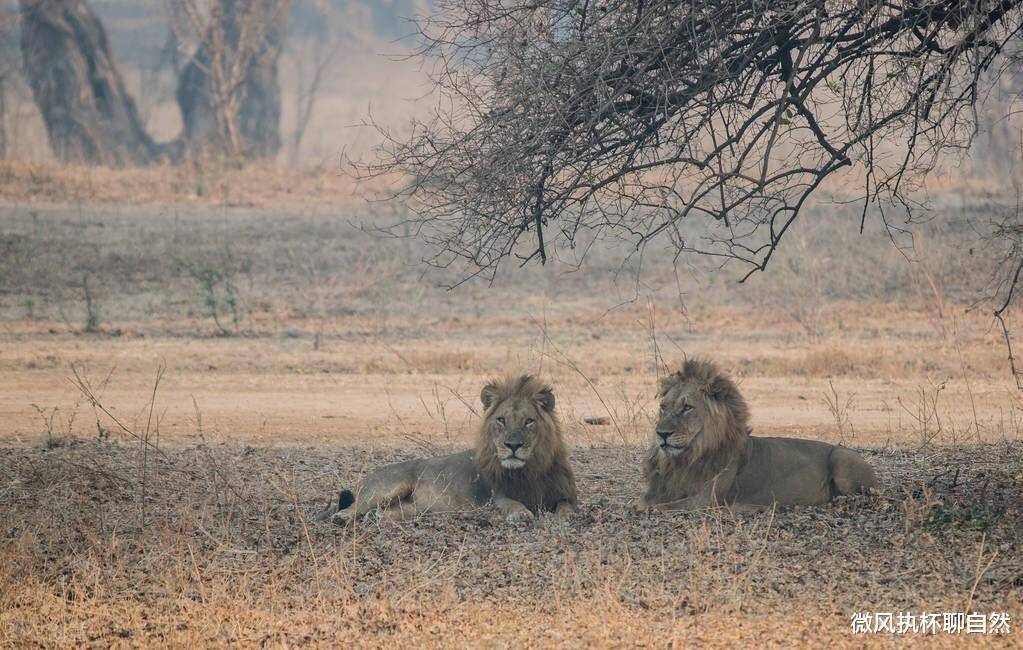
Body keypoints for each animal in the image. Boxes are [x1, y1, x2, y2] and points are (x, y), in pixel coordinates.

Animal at [313, 374, 576, 528]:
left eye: (529, 421)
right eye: (501, 420)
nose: (512, 445)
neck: (529, 470)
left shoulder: (566, 496)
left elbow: (567, 508)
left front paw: (561, 518)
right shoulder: (496, 496)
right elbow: (512, 504)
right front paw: (521, 514)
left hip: (416, 508)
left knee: (389, 512)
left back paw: (377, 518)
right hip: (387, 487)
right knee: (352, 507)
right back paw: (342, 518)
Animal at [630, 356, 879, 513]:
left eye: (687, 408)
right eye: (663, 407)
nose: (661, 434)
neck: (687, 458)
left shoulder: (704, 500)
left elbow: (653, 507)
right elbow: (641, 502)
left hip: (842, 459)